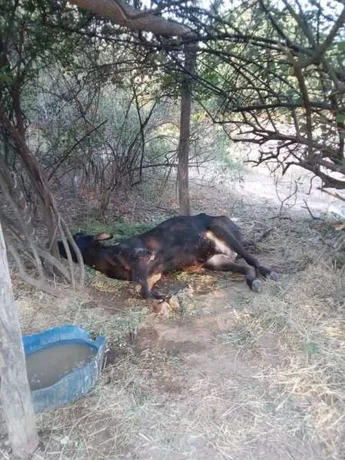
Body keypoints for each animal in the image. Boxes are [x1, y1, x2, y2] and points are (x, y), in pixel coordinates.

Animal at [58, 214, 276, 310]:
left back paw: (268, 272)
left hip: (219, 228)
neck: (108, 256)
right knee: (246, 267)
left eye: (76, 236)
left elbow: (140, 288)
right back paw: (253, 282)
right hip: (215, 261)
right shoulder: (153, 274)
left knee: (252, 258)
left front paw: (164, 300)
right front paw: (164, 299)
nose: (57, 241)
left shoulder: (144, 257)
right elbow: (142, 290)